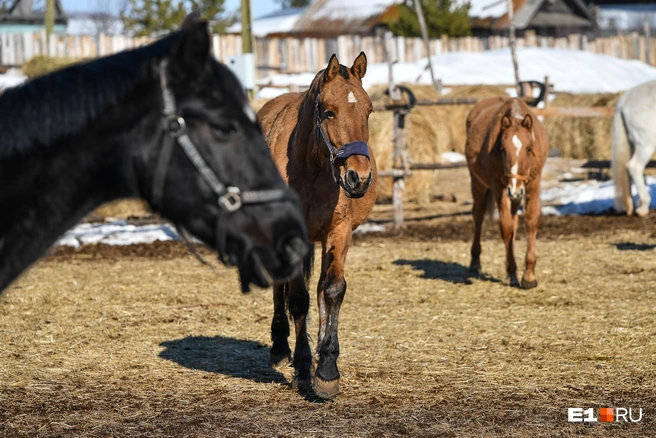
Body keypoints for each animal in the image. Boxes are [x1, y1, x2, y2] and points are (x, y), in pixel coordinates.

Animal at [258, 53, 376, 398]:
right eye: (328, 111)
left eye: (368, 110)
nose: (359, 178)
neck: (309, 167)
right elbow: (298, 299)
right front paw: (301, 367)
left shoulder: (338, 231)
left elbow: (332, 291)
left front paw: (326, 369)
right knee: (280, 284)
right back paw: (279, 347)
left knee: (322, 288)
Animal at [466, 96, 548, 290]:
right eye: (503, 149)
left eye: (529, 148)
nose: (515, 189)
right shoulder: (499, 186)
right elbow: (506, 226)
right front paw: (513, 274)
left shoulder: (533, 183)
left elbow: (531, 221)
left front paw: (529, 276)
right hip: (478, 182)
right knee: (478, 215)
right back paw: (475, 265)